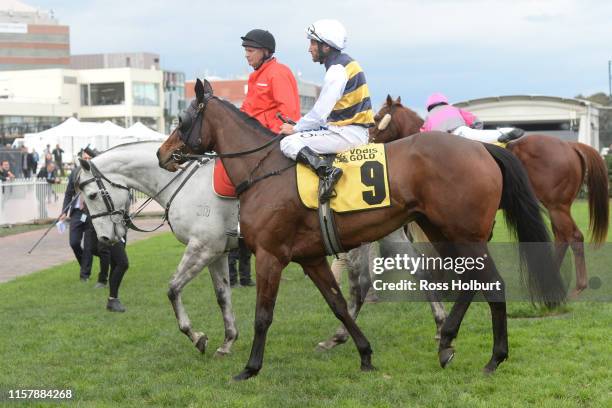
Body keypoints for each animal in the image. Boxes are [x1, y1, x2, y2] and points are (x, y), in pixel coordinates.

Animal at [157, 79, 564, 380]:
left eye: (182, 120)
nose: (163, 154)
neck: (265, 170)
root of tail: (482, 149)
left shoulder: (271, 256)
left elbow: (263, 315)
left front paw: (250, 368)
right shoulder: (310, 258)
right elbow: (339, 305)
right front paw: (364, 354)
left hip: (465, 236)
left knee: (489, 283)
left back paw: (481, 352)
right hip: (442, 232)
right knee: (471, 283)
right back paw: (458, 345)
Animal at [370, 97, 608, 298]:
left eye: (377, 118)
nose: (370, 140)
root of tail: (570, 145)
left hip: (557, 205)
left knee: (573, 237)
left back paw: (576, 287)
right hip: (556, 206)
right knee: (562, 237)